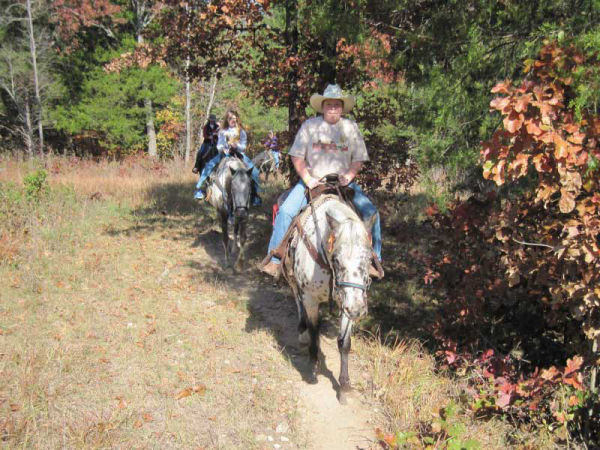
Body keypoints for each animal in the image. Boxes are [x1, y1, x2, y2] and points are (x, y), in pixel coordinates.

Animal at [282, 195, 376, 402]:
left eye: (368, 259)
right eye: (336, 260)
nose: (358, 309)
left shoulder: (346, 302)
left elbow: (344, 343)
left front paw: (344, 386)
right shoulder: (311, 298)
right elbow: (314, 330)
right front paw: (313, 368)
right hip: (293, 281)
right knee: (298, 301)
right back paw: (302, 333)